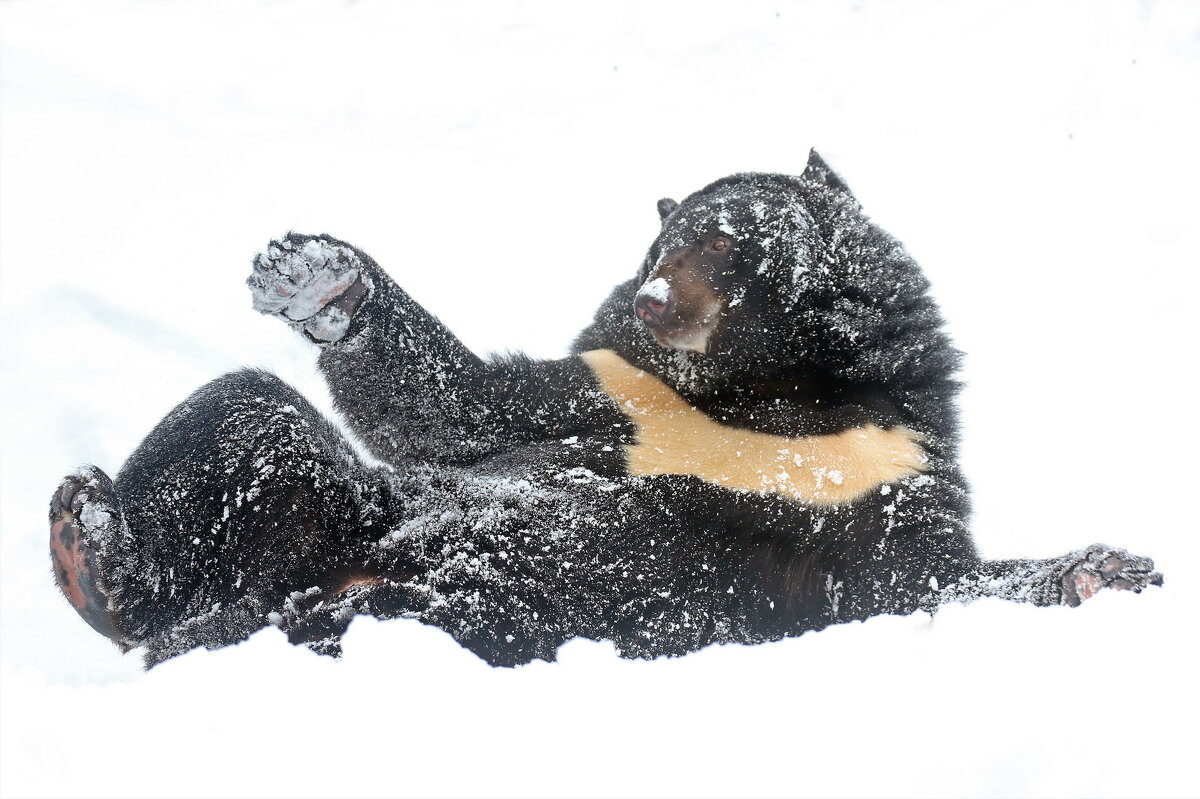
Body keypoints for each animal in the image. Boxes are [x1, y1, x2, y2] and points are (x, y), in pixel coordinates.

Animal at [49, 152, 1161, 662]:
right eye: (659, 247)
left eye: (727, 243)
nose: (657, 299)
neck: (762, 402)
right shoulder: (621, 390)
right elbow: (462, 405)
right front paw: (316, 274)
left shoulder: (880, 464)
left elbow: (923, 578)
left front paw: (1111, 567)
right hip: (343, 513)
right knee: (244, 415)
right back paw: (91, 541)